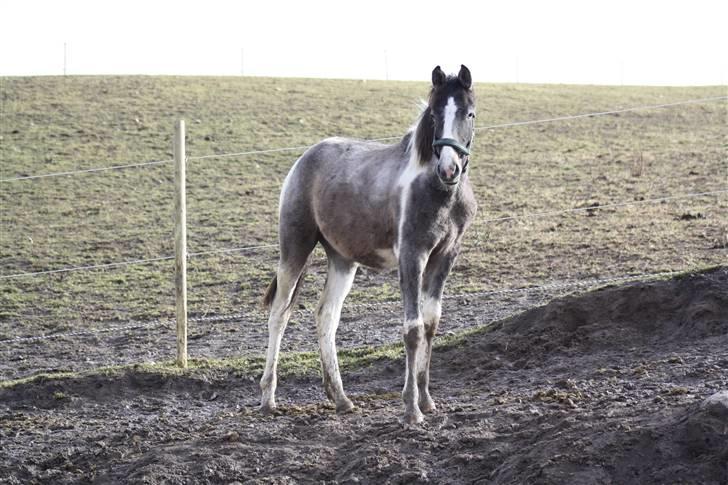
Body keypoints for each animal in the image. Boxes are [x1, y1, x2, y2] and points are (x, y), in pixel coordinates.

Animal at [258, 65, 474, 424]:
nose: (449, 168)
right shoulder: (412, 256)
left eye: (468, 113)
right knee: (279, 314)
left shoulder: (445, 256)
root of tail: (303, 160)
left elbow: (431, 324)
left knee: (326, 316)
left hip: (342, 260)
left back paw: (341, 399)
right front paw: (412, 409)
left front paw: (427, 400)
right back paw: (268, 399)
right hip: (295, 248)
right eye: (434, 114)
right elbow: (413, 329)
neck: (437, 190)